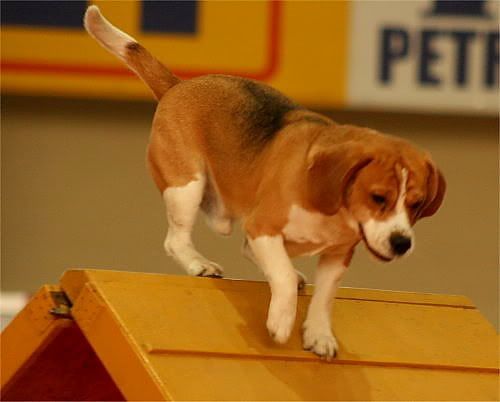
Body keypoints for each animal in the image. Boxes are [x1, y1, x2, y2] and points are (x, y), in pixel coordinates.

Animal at [84, 6, 445, 359]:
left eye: (416, 204)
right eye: (378, 198)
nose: (402, 243)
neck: (332, 213)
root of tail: (178, 86)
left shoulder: (337, 255)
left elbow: (324, 297)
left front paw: (319, 334)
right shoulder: (263, 227)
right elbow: (281, 274)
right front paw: (282, 320)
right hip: (187, 187)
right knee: (177, 240)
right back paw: (200, 264)